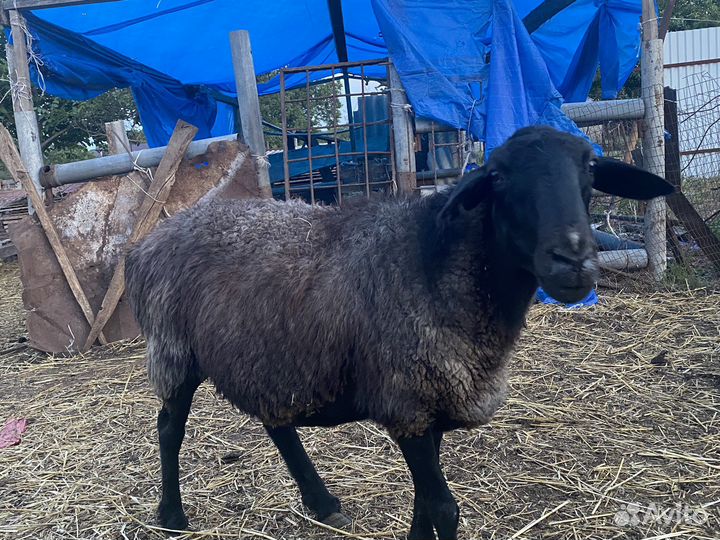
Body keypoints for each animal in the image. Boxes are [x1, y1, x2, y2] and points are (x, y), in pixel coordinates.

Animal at [125, 126, 673, 539]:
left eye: (591, 171)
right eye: (497, 176)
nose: (573, 260)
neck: (436, 263)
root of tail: (153, 239)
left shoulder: (433, 403)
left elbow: (424, 502)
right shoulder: (407, 401)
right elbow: (444, 508)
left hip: (271, 353)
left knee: (276, 421)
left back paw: (322, 503)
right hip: (174, 349)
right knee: (169, 427)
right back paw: (172, 517)